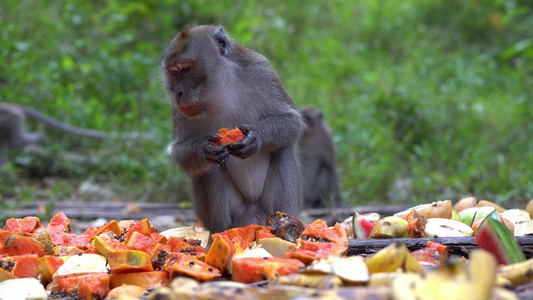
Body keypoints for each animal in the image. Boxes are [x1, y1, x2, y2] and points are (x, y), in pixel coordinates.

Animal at [160, 25, 304, 234]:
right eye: (173, 72)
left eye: (186, 69)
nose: (178, 92)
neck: (220, 91)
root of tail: (253, 215)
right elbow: (180, 151)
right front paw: (204, 149)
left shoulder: (262, 71)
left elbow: (292, 121)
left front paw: (255, 138)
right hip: (234, 212)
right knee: (209, 168)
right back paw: (222, 232)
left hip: (267, 208)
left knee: (282, 147)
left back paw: (284, 222)